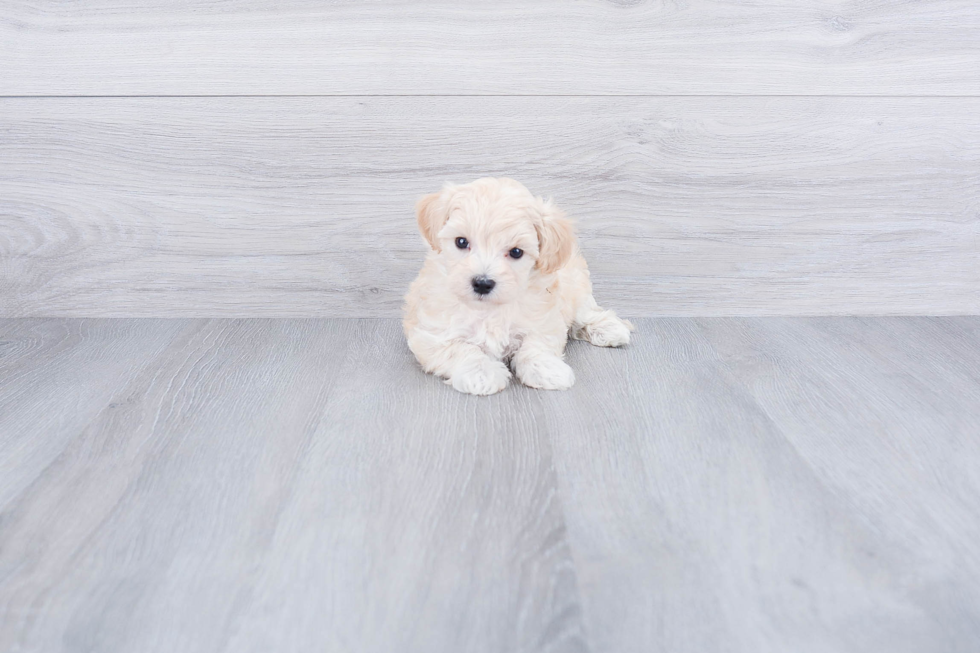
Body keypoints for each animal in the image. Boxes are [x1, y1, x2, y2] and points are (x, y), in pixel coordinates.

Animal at [400, 176, 636, 394]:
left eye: (516, 252)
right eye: (461, 241)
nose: (482, 283)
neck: (488, 310)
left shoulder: (544, 318)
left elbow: (537, 345)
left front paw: (546, 369)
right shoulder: (431, 334)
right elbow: (459, 349)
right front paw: (481, 372)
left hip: (576, 285)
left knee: (584, 311)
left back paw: (609, 328)